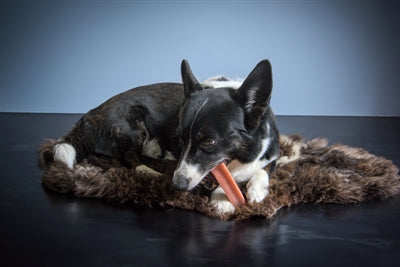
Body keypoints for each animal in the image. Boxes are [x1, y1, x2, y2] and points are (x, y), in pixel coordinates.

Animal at [51, 60, 280, 216]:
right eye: (180, 137)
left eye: (209, 141)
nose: (177, 185)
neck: (242, 155)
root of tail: (88, 117)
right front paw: (222, 201)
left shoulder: (271, 155)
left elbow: (265, 169)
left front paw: (256, 191)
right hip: (132, 124)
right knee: (126, 157)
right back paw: (150, 171)